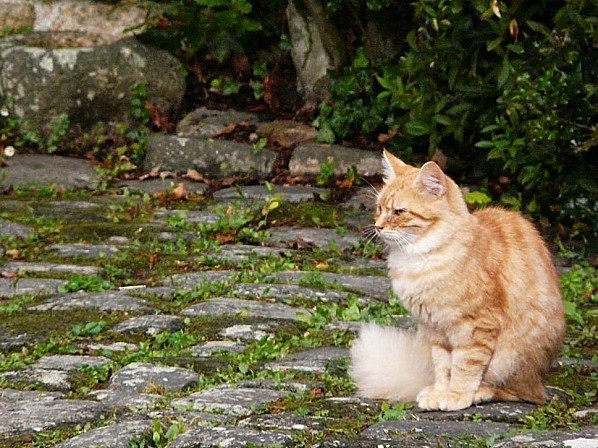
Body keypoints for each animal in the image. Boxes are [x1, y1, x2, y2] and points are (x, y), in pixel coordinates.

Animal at [352, 152, 568, 412]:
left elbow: (465, 367)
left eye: (399, 212)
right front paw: (440, 392)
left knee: (520, 393)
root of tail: (541, 380)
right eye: (380, 208)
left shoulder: (475, 327)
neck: (419, 258)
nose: (378, 226)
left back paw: (481, 393)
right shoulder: (435, 330)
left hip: (512, 359)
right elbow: (444, 367)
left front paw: (457, 395)